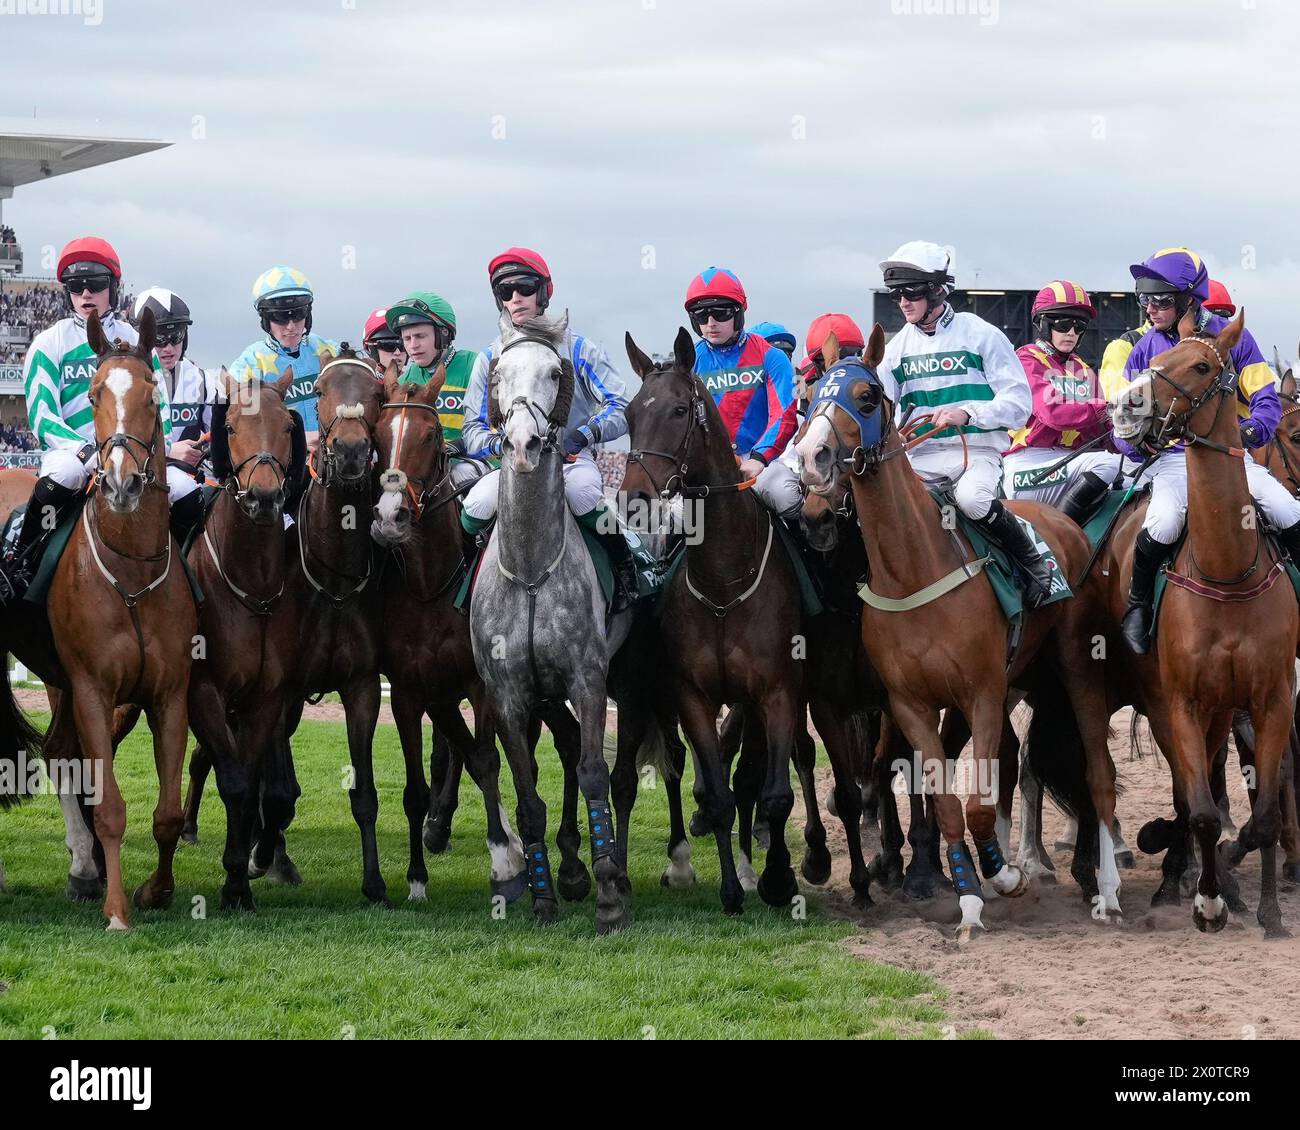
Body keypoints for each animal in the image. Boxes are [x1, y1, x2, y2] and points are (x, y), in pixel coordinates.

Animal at [790, 323, 1118, 936]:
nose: (811, 458)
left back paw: (1107, 893)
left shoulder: (981, 692)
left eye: (866, 396)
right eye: (814, 395)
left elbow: (978, 804)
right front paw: (968, 898)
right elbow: (943, 802)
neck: (913, 570)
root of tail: (1063, 519)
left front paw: (1005, 875)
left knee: (1098, 772)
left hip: (1078, 671)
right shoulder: (909, 704)